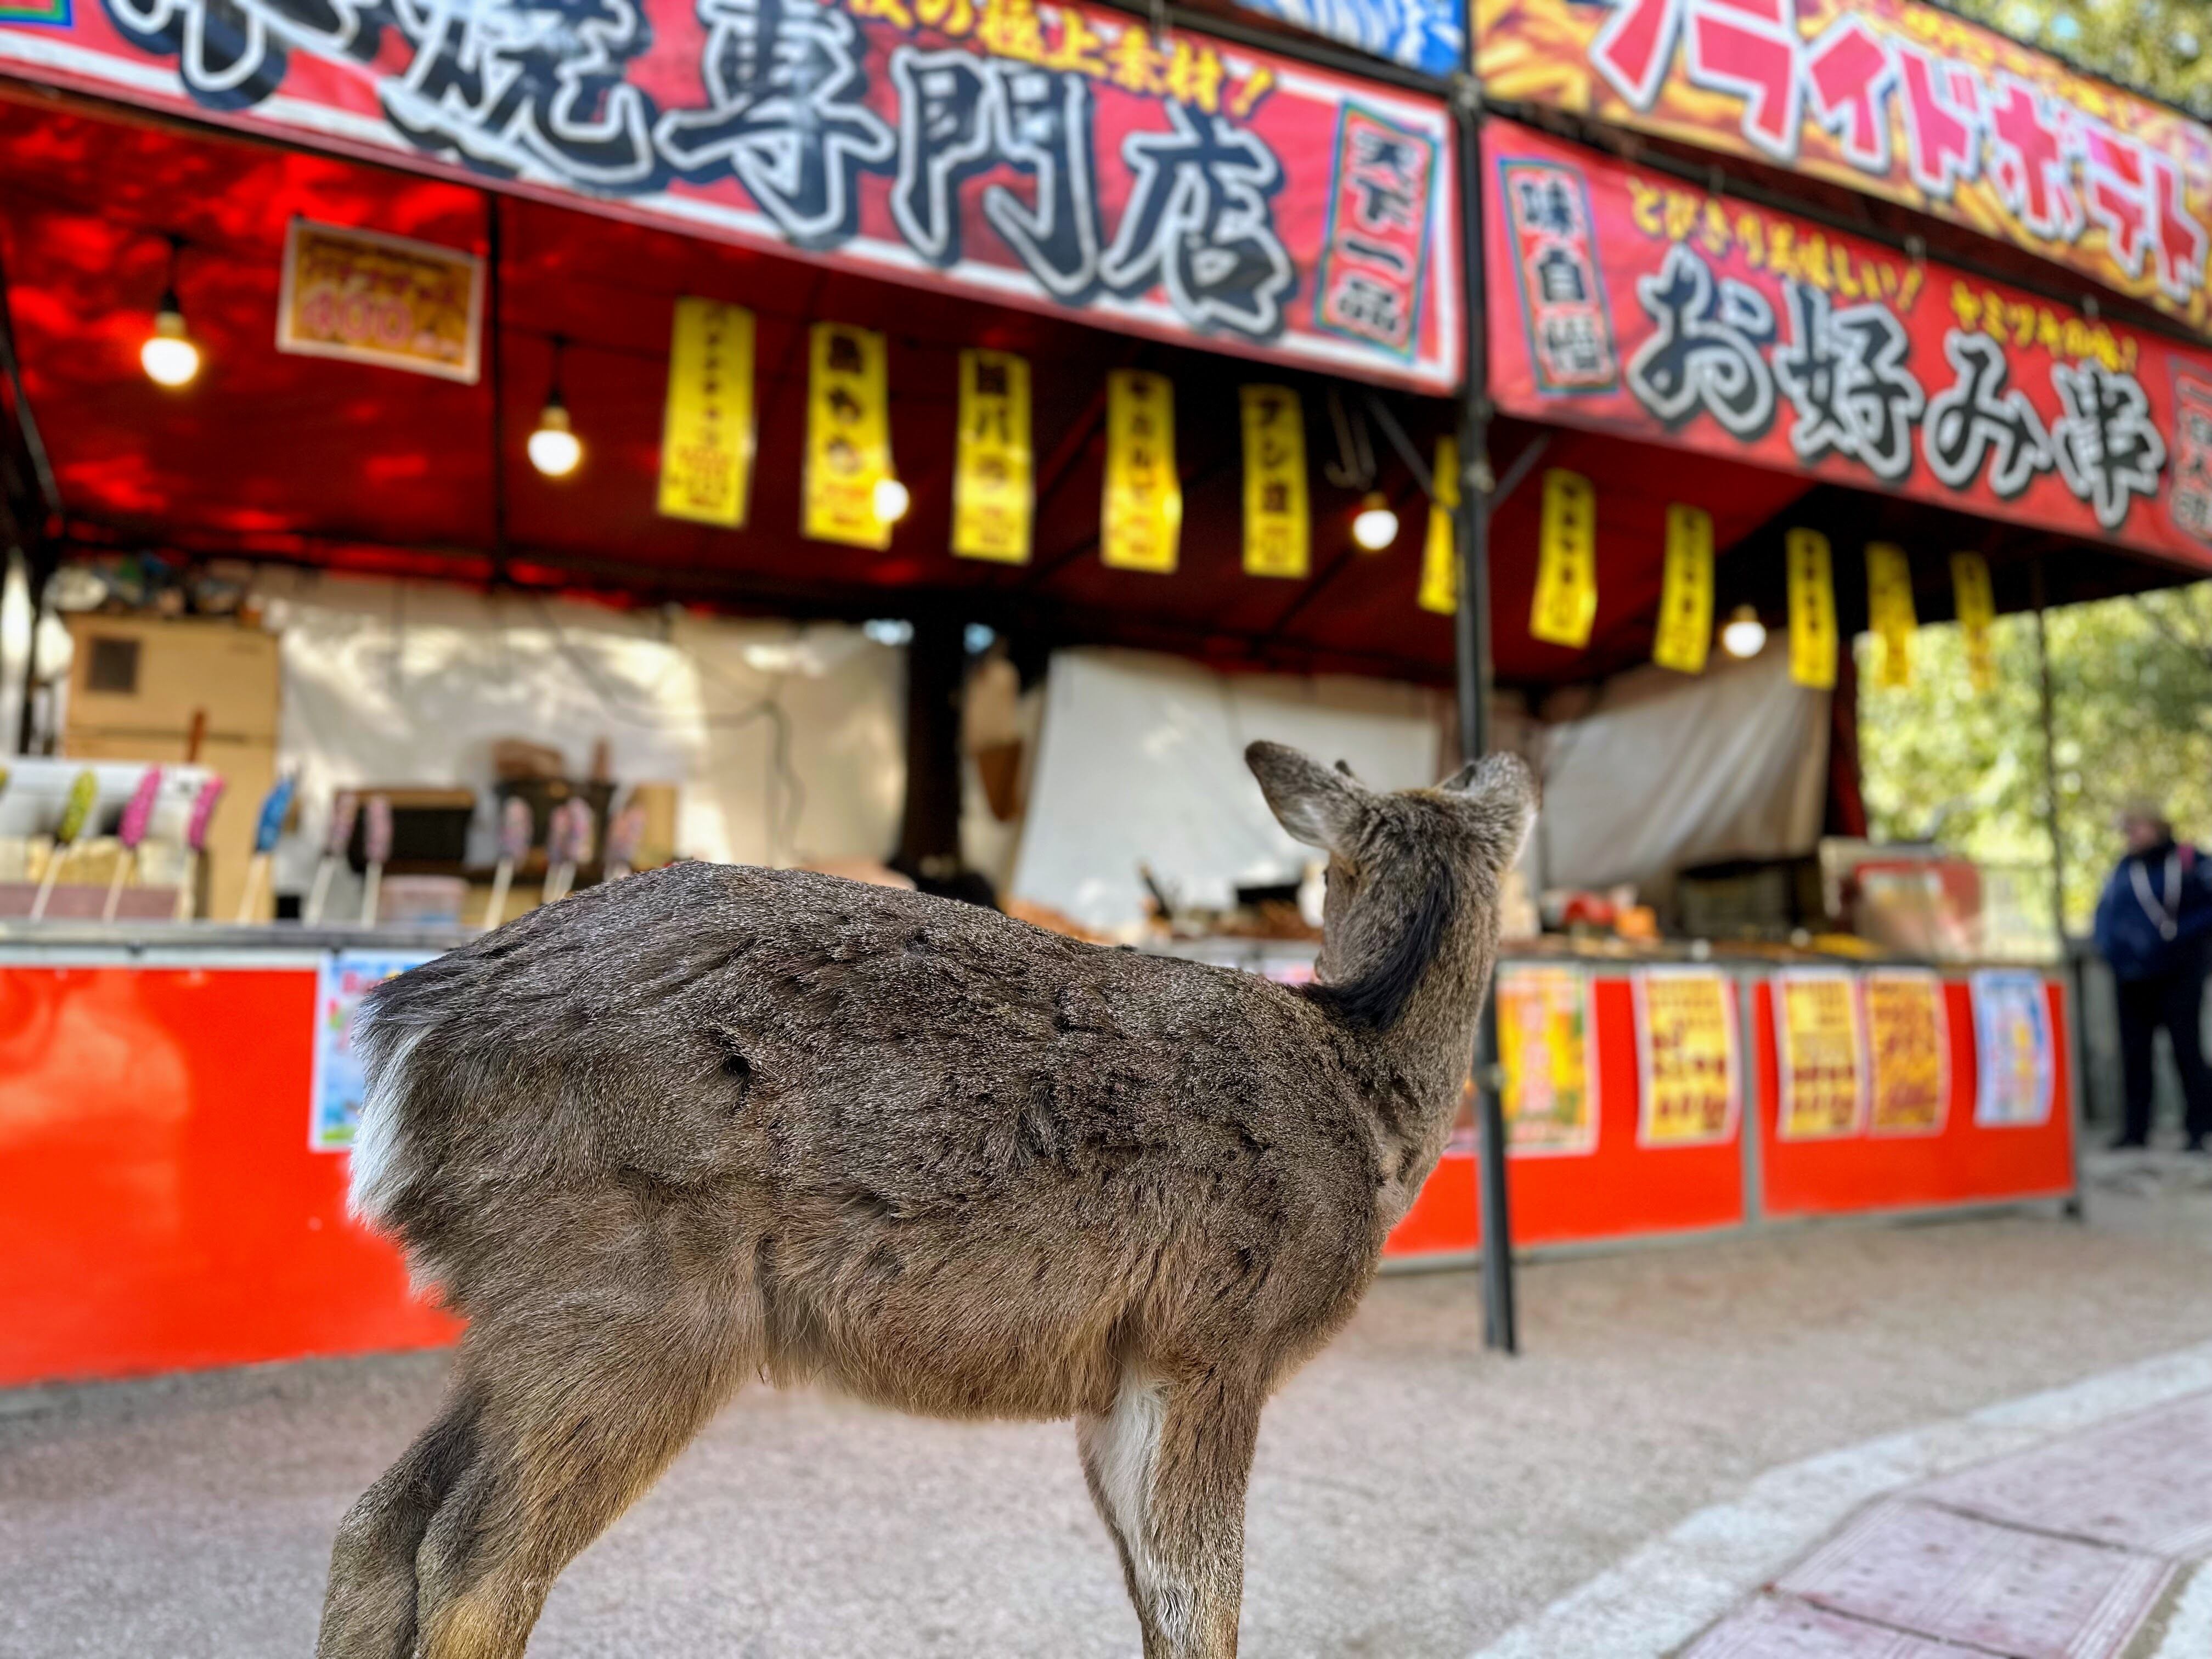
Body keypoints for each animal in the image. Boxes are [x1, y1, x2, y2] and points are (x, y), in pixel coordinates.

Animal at [317, 739, 1536, 1659]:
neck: (1365, 1097)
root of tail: (405, 1034)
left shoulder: (1117, 1371)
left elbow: (1159, 1603)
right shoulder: (1212, 1344)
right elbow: (1205, 1607)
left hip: (523, 1314)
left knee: (378, 1523)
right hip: (629, 1305)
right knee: (472, 1566)